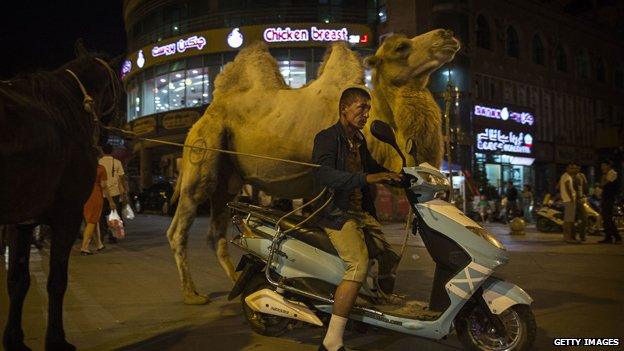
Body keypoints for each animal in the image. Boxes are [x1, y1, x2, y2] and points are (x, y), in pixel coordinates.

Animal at [166, 29, 458, 306]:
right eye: (400, 47)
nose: (446, 35)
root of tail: (206, 113)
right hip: (202, 154)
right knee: (179, 226)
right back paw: (192, 294)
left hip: (228, 179)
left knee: (215, 231)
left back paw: (236, 281)